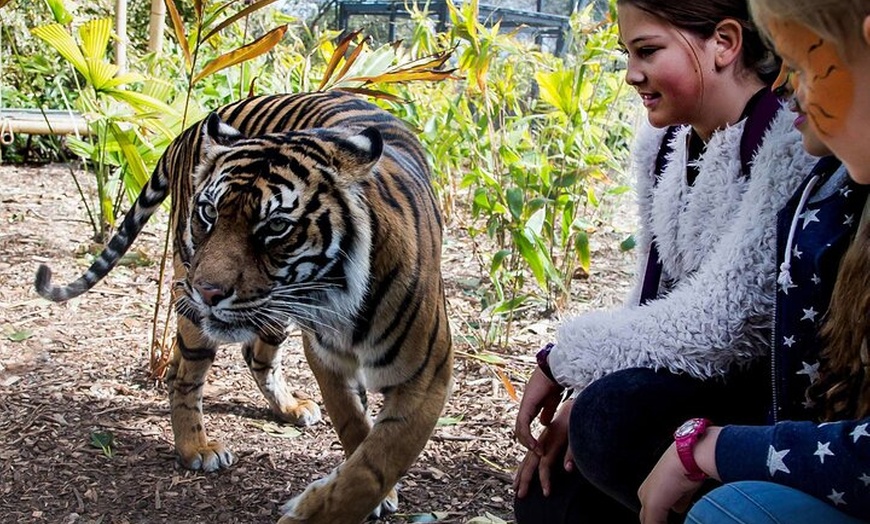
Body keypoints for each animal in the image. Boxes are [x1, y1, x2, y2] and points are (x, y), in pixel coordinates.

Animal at [34, 91, 456, 524]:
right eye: (209, 213)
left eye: (276, 227)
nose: (207, 292)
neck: (340, 297)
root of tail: (193, 127)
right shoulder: (328, 359)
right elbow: (355, 428)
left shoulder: (426, 376)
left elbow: (378, 461)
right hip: (195, 298)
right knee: (187, 374)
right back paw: (196, 447)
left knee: (254, 355)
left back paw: (288, 407)